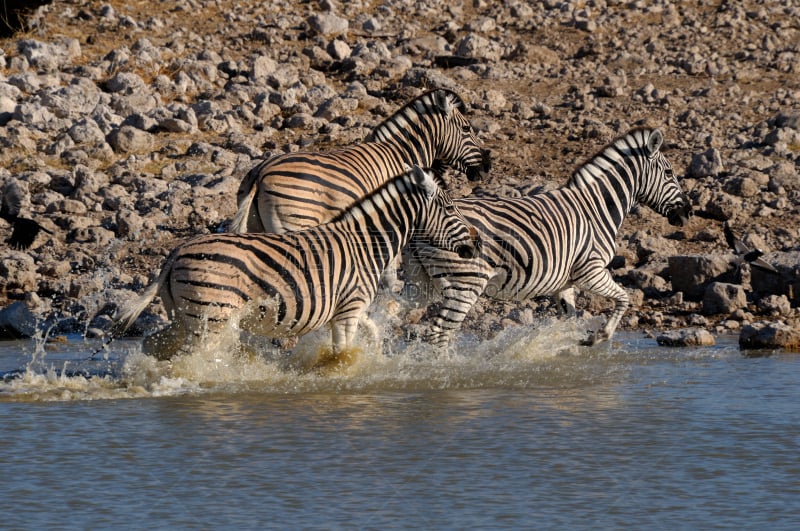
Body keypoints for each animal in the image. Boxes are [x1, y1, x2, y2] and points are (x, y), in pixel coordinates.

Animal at [111, 166, 482, 362]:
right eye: (451, 208)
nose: (477, 244)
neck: (365, 243)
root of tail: (175, 254)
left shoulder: (351, 307)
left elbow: (371, 334)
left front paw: (374, 358)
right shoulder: (349, 309)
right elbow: (341, 352)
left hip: (184, 316)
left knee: (155, 345)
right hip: (210, 318)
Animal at [225, 89, 488, 235]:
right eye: (467, 128)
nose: (487, 167)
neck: (402, 152)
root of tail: (260, 174)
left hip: (255, 225)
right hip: (295, 222)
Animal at [404, 127, 692, 348]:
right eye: (669, 173)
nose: (688, 213)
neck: (596, 208)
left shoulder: (565, 283)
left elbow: (571, 318)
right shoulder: (591, 270)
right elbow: (624, 298)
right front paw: (598, 336)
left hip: (422, 284)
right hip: (466, 283)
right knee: (439, 333)